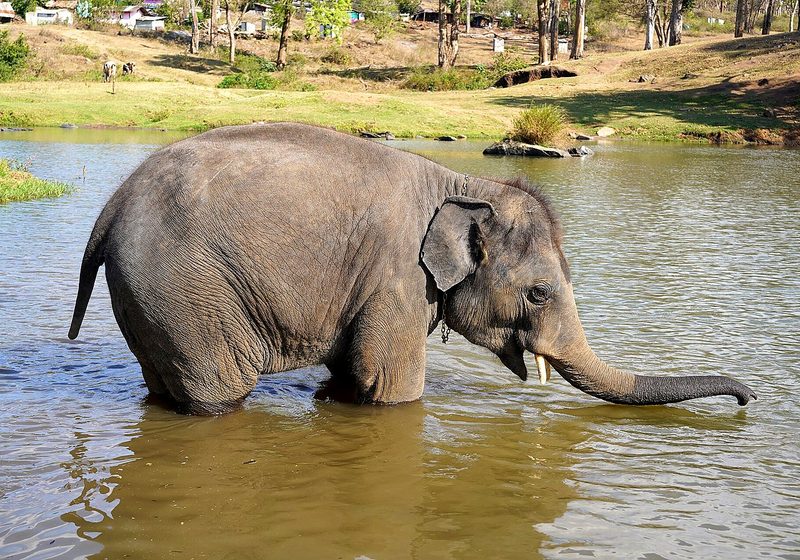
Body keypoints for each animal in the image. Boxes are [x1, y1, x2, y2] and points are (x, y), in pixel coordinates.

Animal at [68, 122, 757, 414]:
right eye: (539, 293)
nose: (749, 399)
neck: (465, 182)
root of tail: (110, 208)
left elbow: (352, 378)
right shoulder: (396, 279)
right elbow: (391, 388)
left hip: (152, 298)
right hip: (185, 291)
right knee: (219, 394)